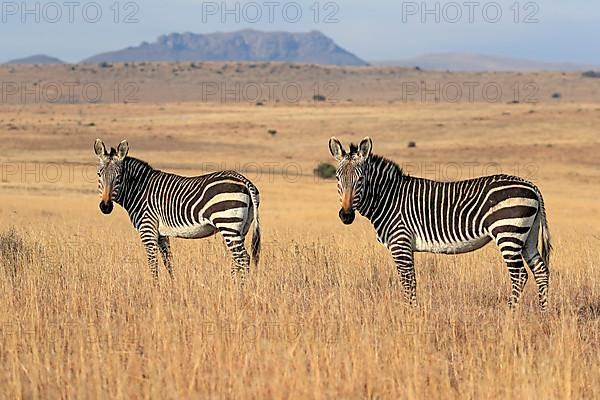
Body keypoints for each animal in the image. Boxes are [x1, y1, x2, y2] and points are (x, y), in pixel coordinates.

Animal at [94, 139, 260, 280]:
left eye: (119, 176)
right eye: (99, 174)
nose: (105, 207)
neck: (139, 190)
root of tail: (244, 180)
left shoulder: (148, 230)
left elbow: (153, 264)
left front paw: (155, 290)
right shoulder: (161, 234)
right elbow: (168, 262)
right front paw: (172, 287)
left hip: (228, 223)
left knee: (243, 258)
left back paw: (240, 290)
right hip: (242, 228)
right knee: (238, 259)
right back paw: (233, 286)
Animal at [330, 137, 552, 310]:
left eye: (360, 179)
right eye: (337, 178)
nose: (346, 216)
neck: (388, 197)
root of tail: (532, 186)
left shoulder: (400, 243)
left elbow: (408, 282)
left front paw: (410, 316)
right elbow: (410, 282)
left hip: (508, 233)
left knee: (520, 275)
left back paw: (509, 314)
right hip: (527, 235)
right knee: (541, 271)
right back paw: (543, 314)